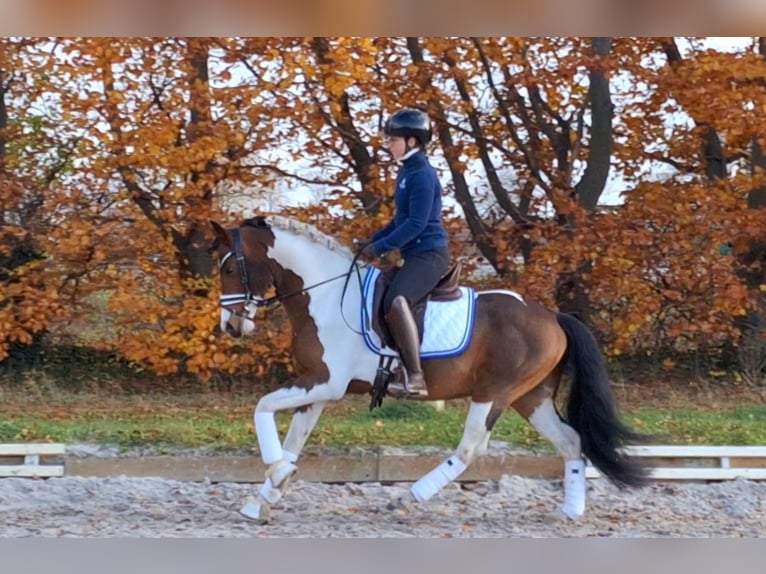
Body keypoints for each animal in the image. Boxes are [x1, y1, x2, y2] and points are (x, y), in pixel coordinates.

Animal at [212, 216, 656, 528]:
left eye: (229, 269)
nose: (230, 327)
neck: (323, 293)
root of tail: (552, 316)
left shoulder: (325, 382)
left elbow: (262, 408)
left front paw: (277, 473)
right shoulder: (317, 387)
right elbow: (293, 440)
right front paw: (263, 498)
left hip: (494, 393)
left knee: (471, 448)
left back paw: (409, 497)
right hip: (531, 398)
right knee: (570, 440)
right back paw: (571, 511)